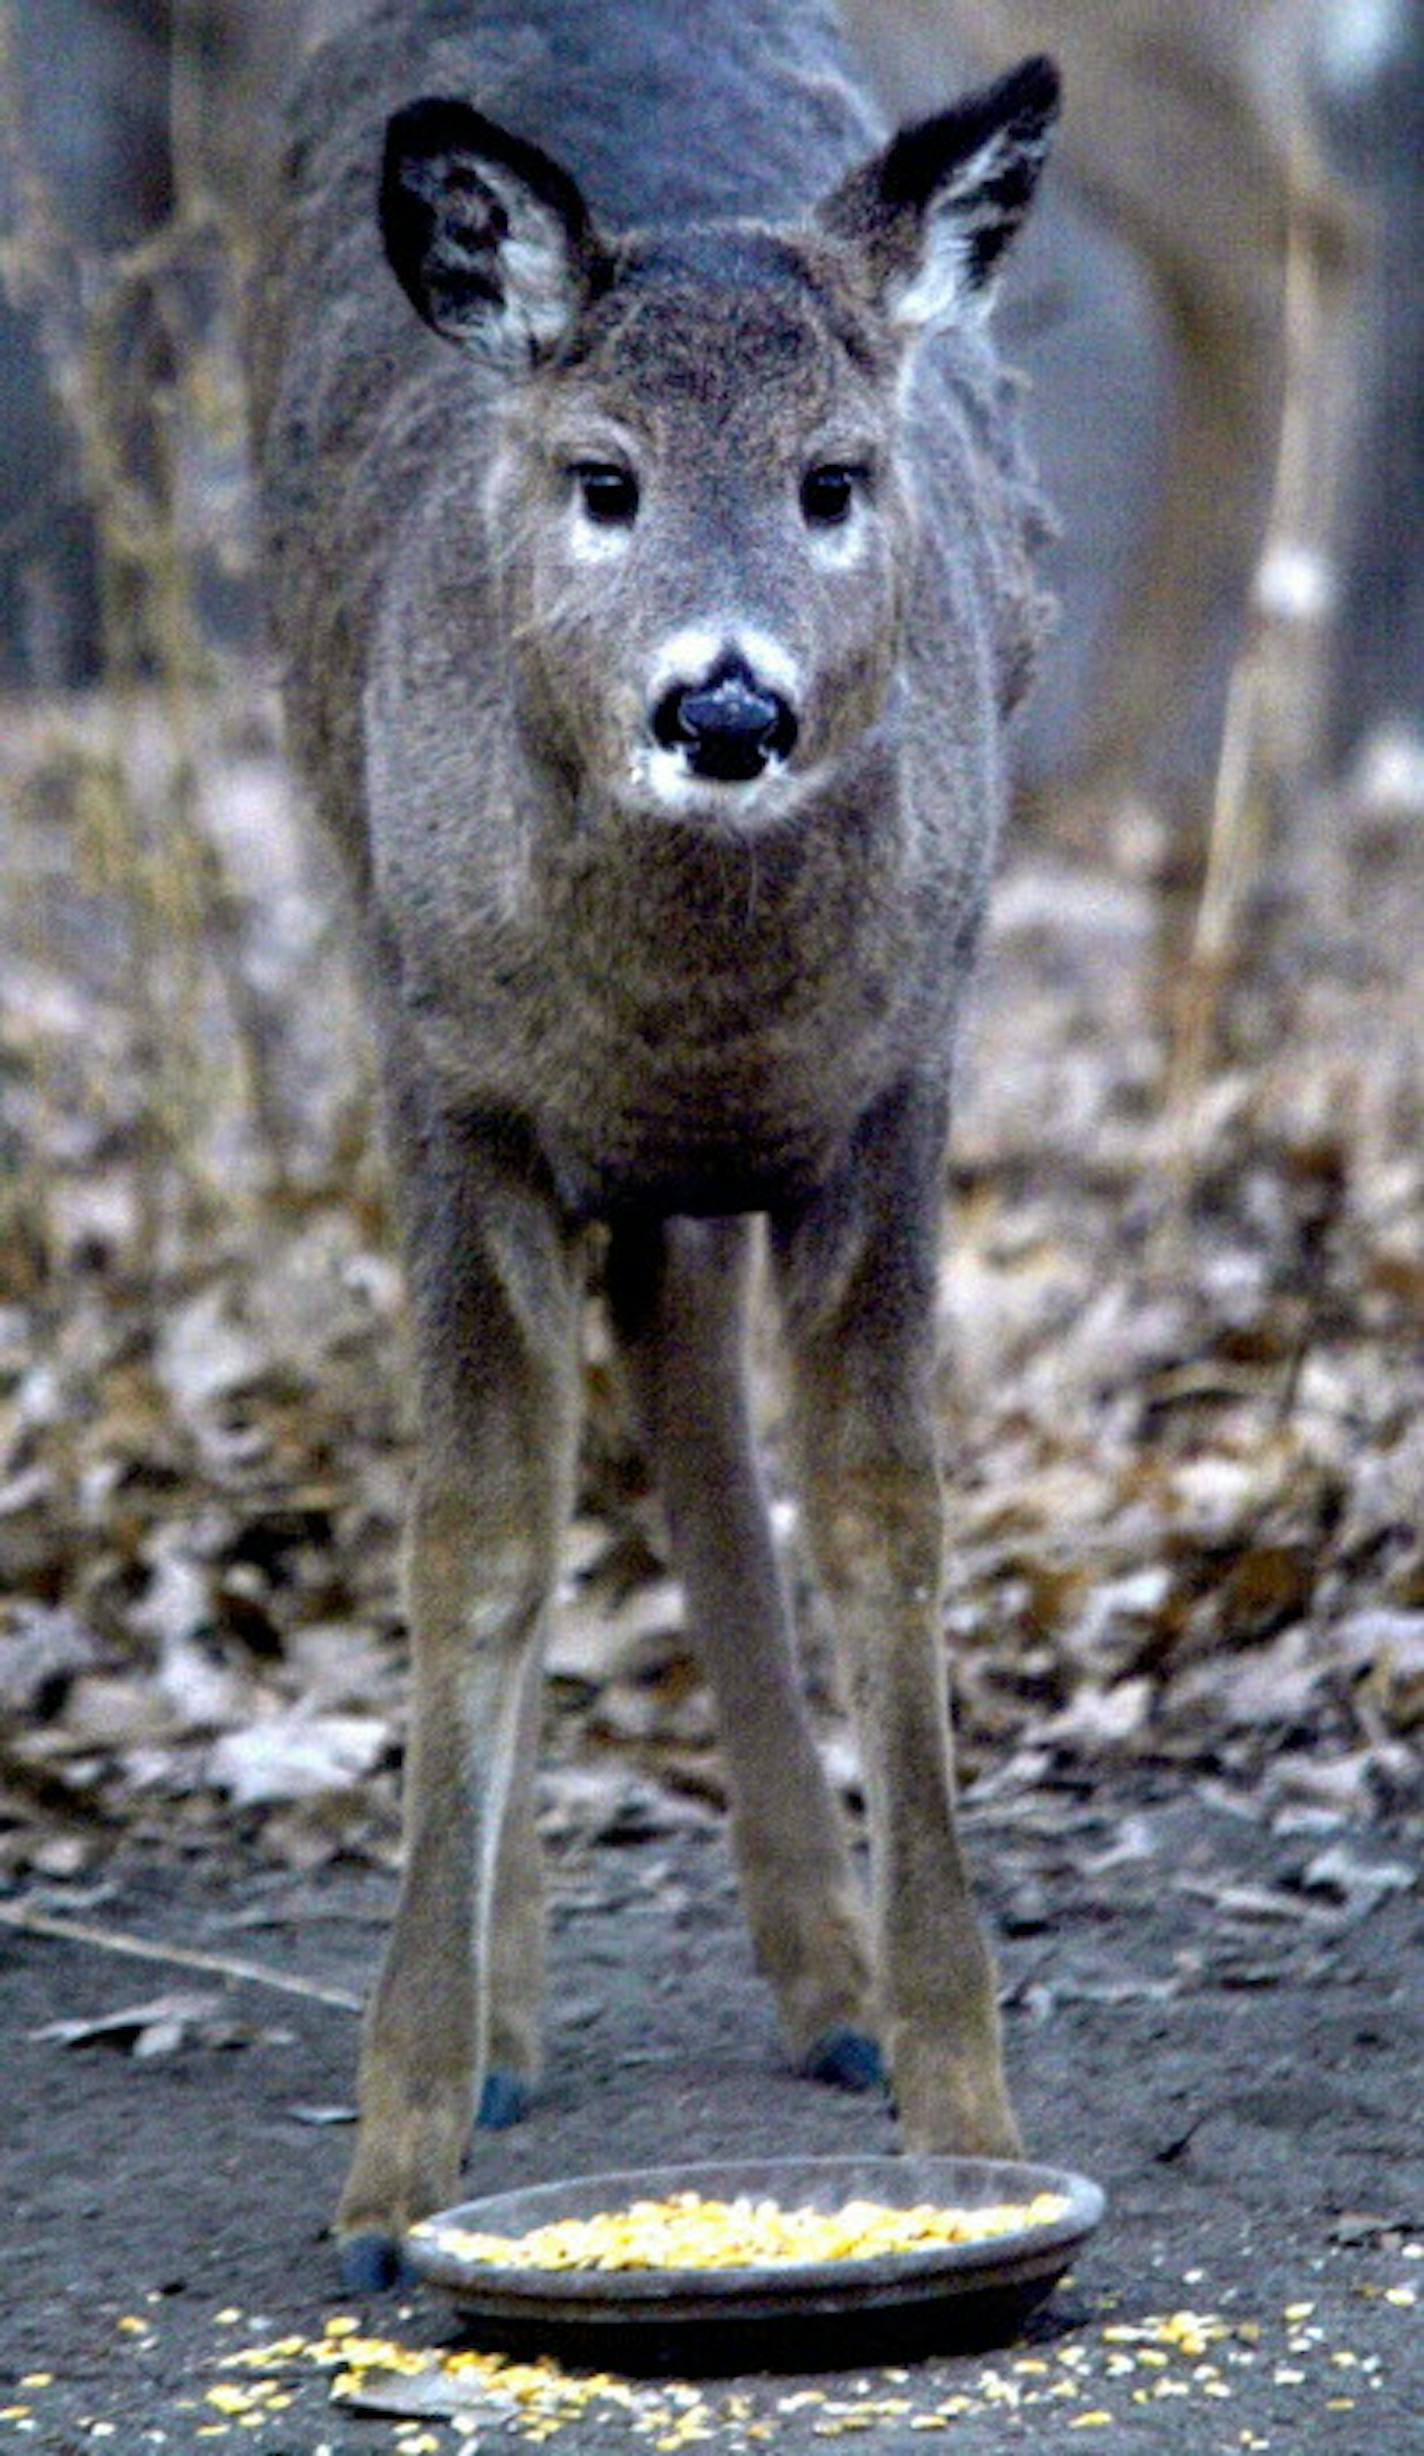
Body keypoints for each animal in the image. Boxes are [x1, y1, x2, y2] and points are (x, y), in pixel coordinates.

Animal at [247, 0, 1055, 2279]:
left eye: (830, 480)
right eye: (601, 482)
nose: (725, 708)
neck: (688, 1017)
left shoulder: (892, 1073)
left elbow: (880, 1519)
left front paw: (960, 2097)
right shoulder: (456, 1087)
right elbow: (472, 1539)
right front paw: (393, 2163)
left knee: (687, 1390)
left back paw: (824, 1980)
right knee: (602, 1422)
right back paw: (522, 2023)